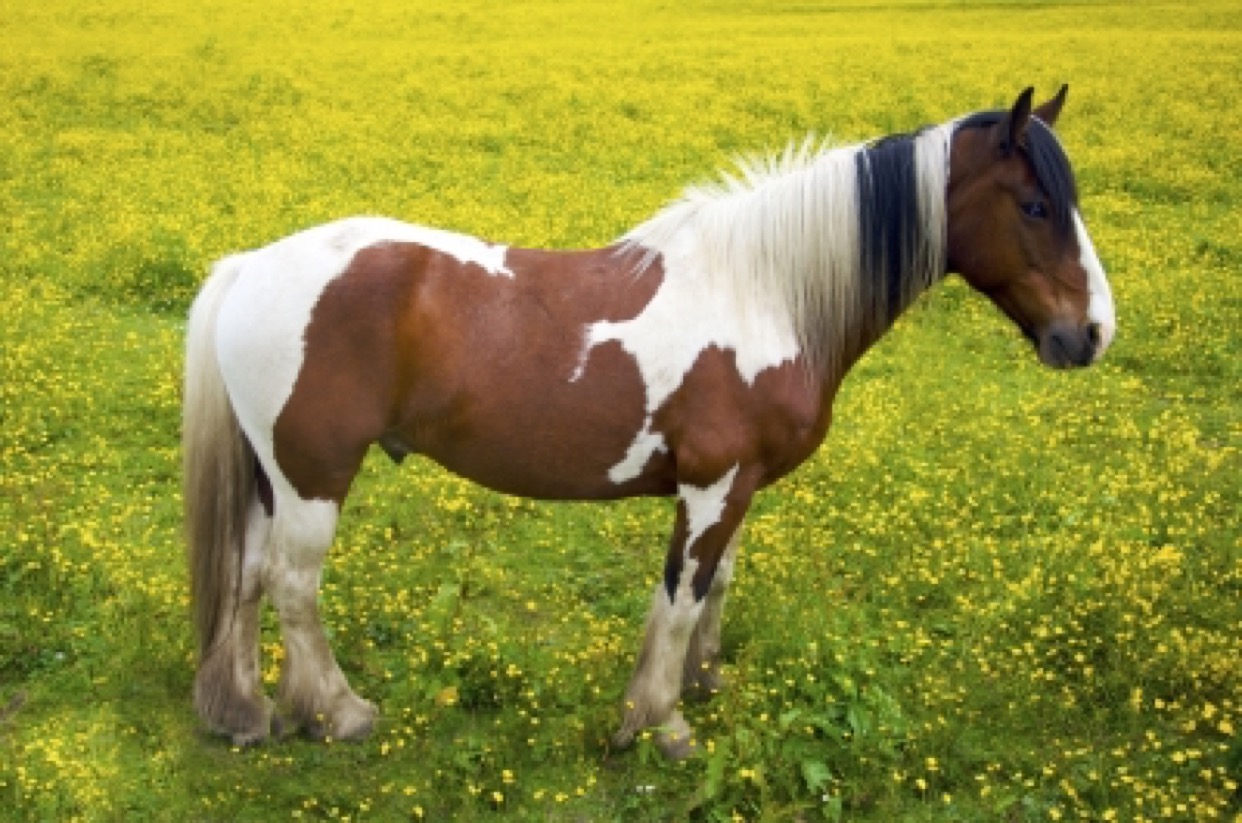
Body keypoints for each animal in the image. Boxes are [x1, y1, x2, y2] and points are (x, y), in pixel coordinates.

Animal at [183, 86, 1115, 757]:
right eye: (1035, 206)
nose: (1092, 333)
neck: (765, 290)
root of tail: (250, 266)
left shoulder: (740, 487)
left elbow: (717, 587)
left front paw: (704, 682)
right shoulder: (709, 489)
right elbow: (678, 596)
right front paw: (660, 723)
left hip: (273, 479)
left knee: (246, 577)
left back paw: (244, 713)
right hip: (314, 477)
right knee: (293, 587)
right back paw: (339, 712)